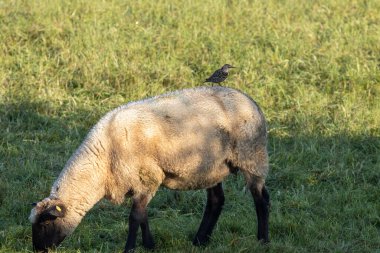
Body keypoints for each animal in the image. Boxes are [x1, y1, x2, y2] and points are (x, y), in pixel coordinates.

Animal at [29, 86, 270, 252]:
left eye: (45, 223)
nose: (38, 250)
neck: (102, 161)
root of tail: (251, 101)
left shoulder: (147, 178)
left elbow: (135, 217)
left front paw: (130, 248)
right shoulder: (142, 183)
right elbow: (143, 215)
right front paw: (149, 245)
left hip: (252, 156)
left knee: (261, 198)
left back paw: (263, 239)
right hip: (211, 166)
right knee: (216, 201)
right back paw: (200, 240)